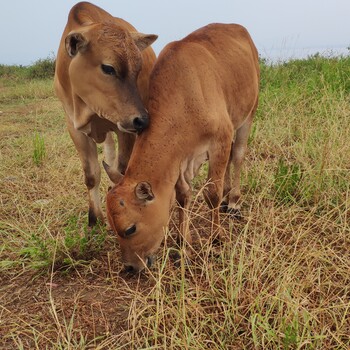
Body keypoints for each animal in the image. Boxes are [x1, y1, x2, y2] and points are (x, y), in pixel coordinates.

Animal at [53, 1, 157, 226]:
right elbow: (91, 175)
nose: (143, 119)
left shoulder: (126, 129)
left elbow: (122, 169)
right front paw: (95, 217)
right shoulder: (75, 129)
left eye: (138, 69)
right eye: (108, 68)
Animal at [106, 23, 260, 272]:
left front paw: (217, 237)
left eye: (130, 229)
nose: (129, 267)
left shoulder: (219, 139)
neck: (185, 97)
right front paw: (183, 247)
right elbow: (182, 196)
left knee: (237, 155)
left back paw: (234, 201)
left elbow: (211, 194)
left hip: (249, 113)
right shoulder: (180, 159)